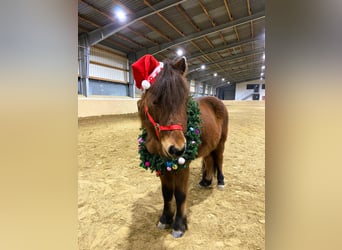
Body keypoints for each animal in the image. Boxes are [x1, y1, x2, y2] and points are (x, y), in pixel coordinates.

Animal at [135, 55, 228, 238]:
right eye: (155, 101)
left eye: (185, 101)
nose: (177, 149)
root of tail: (216, 100)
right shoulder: (162, 165)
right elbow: (166, 193)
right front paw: (165, 219)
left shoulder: (182, 165)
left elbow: (179, 194)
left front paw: (178, 225)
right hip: (209, 145)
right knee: (209, 160)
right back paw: (205, 181)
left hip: (221, 143)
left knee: (219, 161)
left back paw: (220, 182)